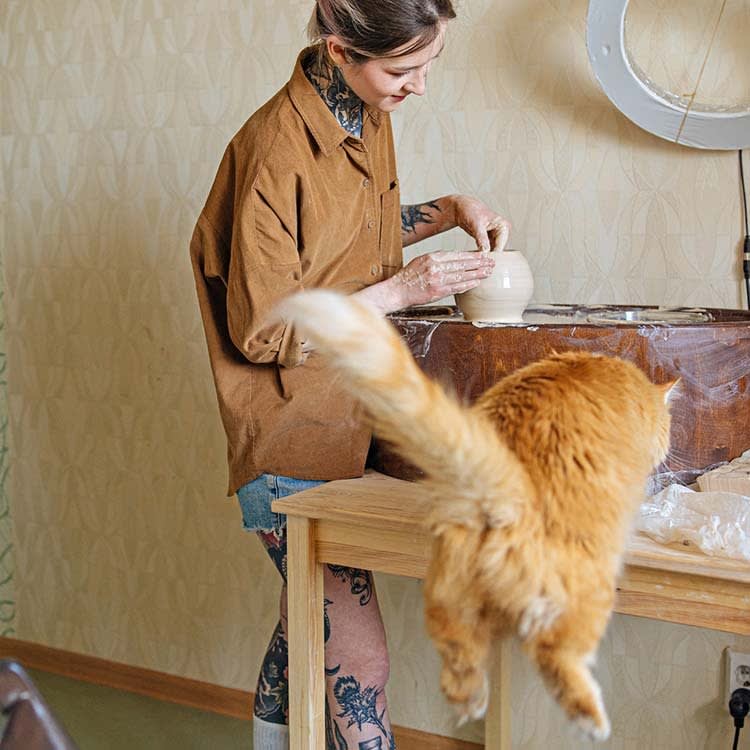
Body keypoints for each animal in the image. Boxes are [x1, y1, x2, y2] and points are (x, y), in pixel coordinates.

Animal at [280, 290, 680, 744]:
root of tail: (499, 486)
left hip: (453, 594)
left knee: (456, 655)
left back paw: (470, 701)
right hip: (587, 588)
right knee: (555, 655)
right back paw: (591, 720)